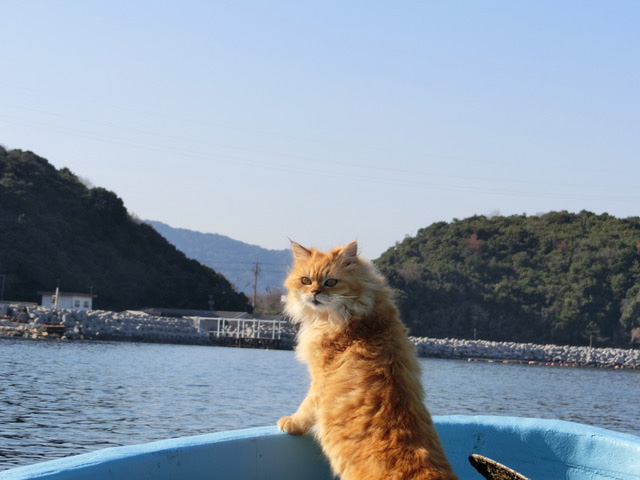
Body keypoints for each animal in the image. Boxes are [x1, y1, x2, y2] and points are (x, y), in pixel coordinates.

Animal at [278, 240, 458, 480]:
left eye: (331, 282)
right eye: (306, 281)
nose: (315, 292)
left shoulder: (320, 379)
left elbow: (306, 408)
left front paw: (291, 423)